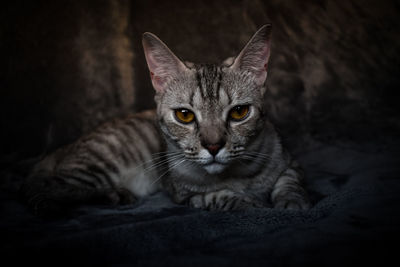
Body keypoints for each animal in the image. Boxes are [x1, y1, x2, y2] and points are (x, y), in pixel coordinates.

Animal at [21, 24, 310, 218]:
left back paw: (116, 195)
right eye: (185, 115)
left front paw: (292, 203)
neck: (235, 176)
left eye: (239, 112)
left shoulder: (291, 162)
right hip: (96, 167)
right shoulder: (185, 195)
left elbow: (290, 183)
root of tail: (65, 148)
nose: (213, 146)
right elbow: (218, 196)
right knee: (35, 188)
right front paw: (248, 204)